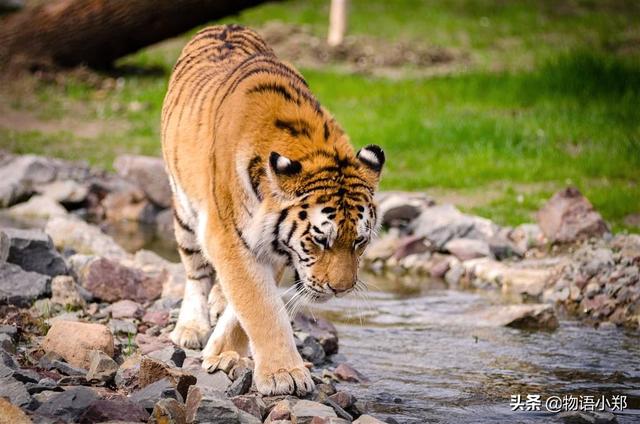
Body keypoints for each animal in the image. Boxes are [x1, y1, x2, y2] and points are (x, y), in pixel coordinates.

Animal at [161, 24, 384, 398]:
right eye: (320, 240)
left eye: (360, 241)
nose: (340, 289)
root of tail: (224, 26)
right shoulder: (227, 234)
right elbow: (260, 305)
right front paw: (284, 375)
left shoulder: (276, 246)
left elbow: (247, 305)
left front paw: (224, 353)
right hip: (185, 211)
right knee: (195, 273)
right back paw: (191, 327)